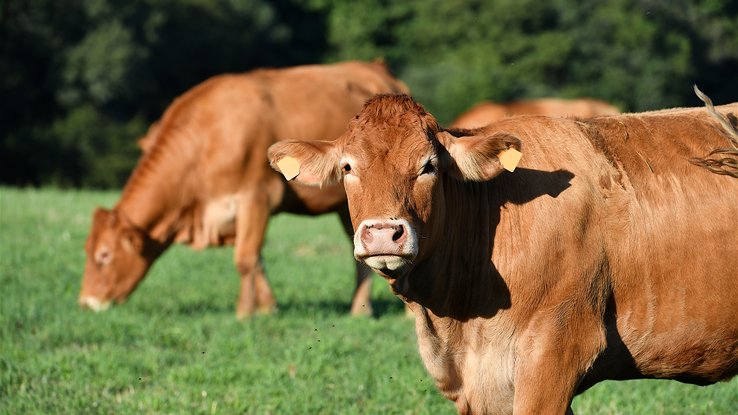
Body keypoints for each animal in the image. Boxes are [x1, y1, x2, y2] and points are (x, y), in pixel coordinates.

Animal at [78, 60, 410, 319]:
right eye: (88, 250)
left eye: (104, 255)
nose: (86, 302)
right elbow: (257, 259)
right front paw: (267, 308)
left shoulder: (256, 198)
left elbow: (246, 258)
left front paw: (244, 313)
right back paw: (360, 310)